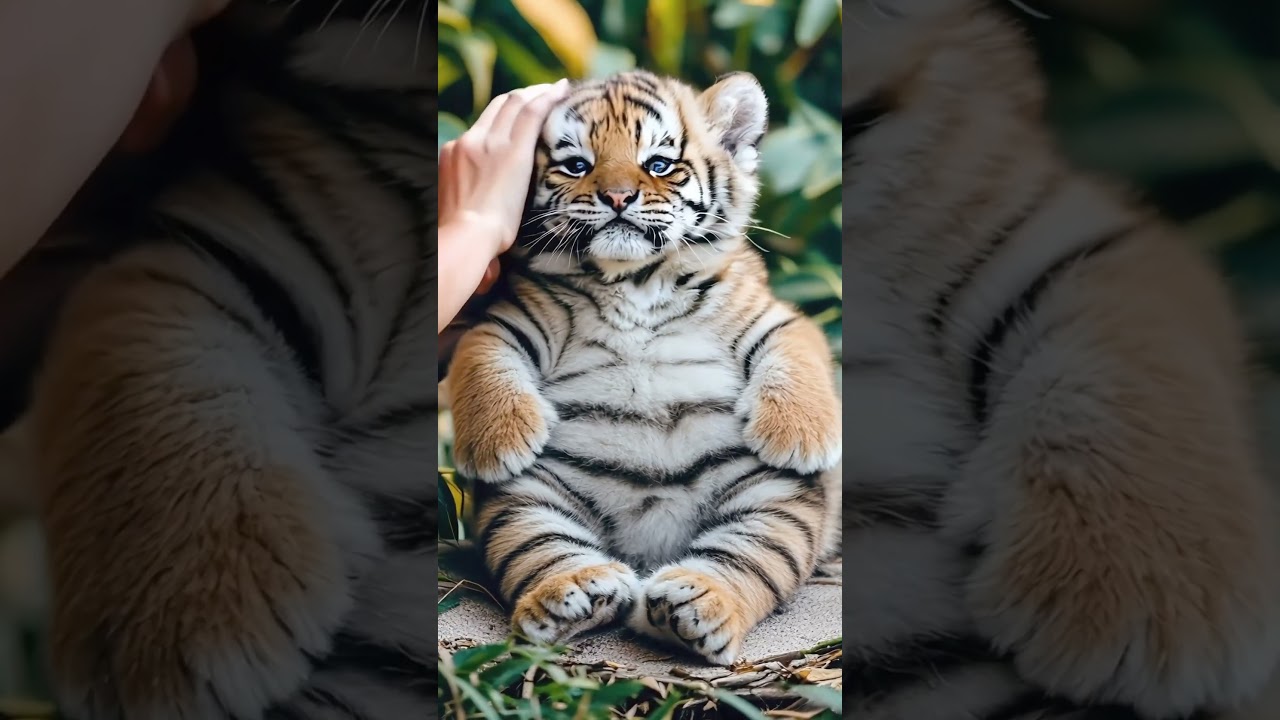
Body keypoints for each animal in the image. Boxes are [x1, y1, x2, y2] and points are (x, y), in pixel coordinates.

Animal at [443, 69, 843, 665]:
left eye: (657, 163)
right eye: (576, 165)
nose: (617, 197)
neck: (635, 281)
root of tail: (648, 549)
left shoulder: (769, 312)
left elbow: (795, 347)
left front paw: (799, 436)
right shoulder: (511, 316)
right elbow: (484, 352)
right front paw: (500, 443)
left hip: (776, 502)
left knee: (745, 561)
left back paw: (693, 603)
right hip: (526, 501)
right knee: (543, 547)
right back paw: (575, 595)